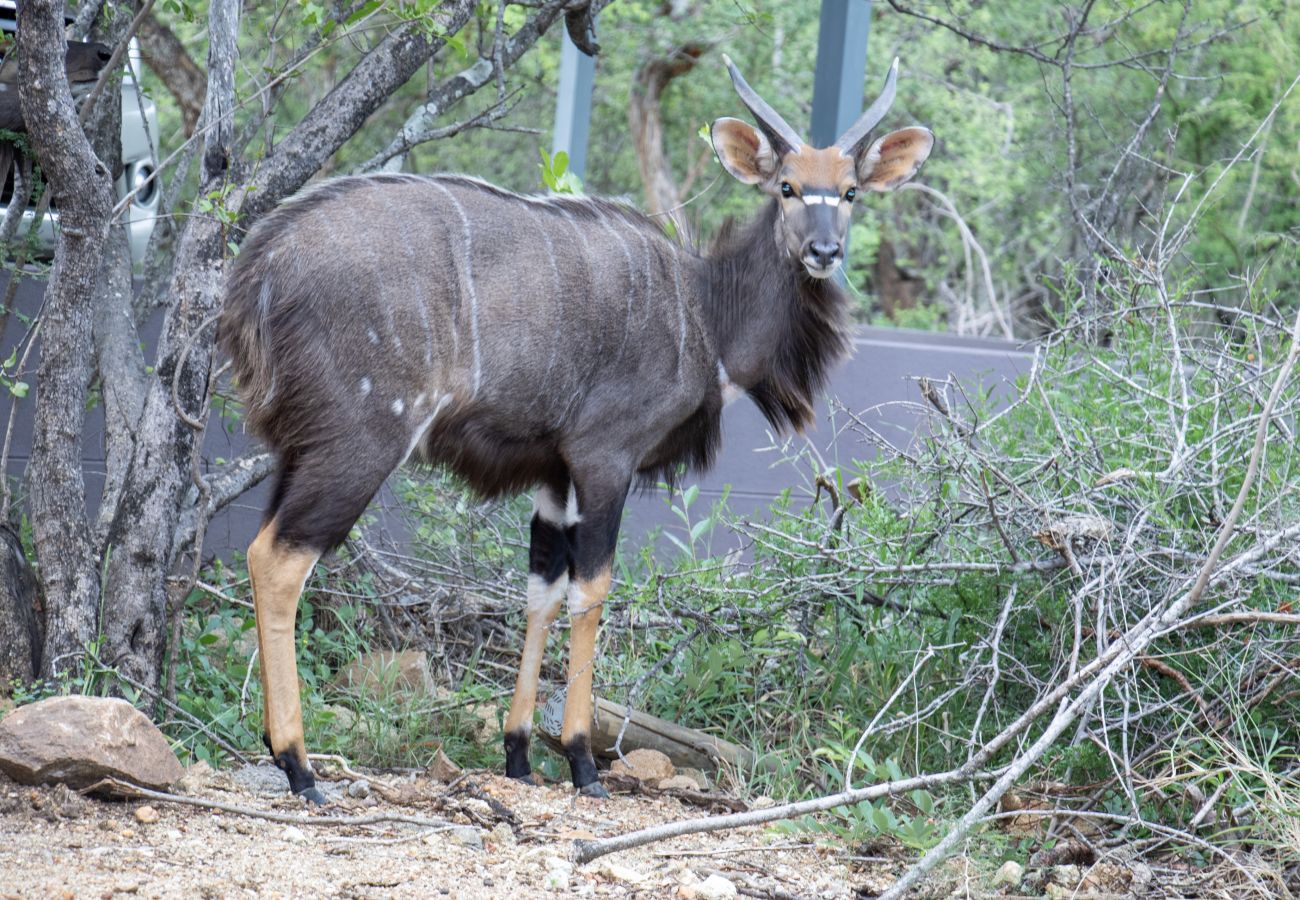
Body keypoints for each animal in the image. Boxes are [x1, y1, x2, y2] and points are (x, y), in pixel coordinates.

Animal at [226, 56, 935, 801]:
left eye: (851, 191)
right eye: (788, 186)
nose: (824, 251)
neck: (707, 315)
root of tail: (258, 269)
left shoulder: (552, 474)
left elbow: (541, 590)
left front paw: (517, 753)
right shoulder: (604, 457)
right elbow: (592, 590)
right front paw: (581, 760)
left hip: (298, 448)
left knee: (265, 548)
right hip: (361, 441)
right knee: (277, 558)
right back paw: (299, 764)